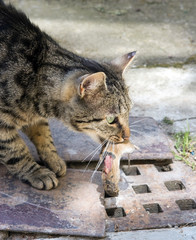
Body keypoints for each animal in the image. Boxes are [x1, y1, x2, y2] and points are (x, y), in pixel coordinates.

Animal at [0, 1, 135, 189]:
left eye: (129, 112)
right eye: (111, 119)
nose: (127, 136)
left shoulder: (35, 117)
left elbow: (43, 134)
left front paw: (53, 159)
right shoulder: (2, 126)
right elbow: (15, 150)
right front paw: (36, 172)